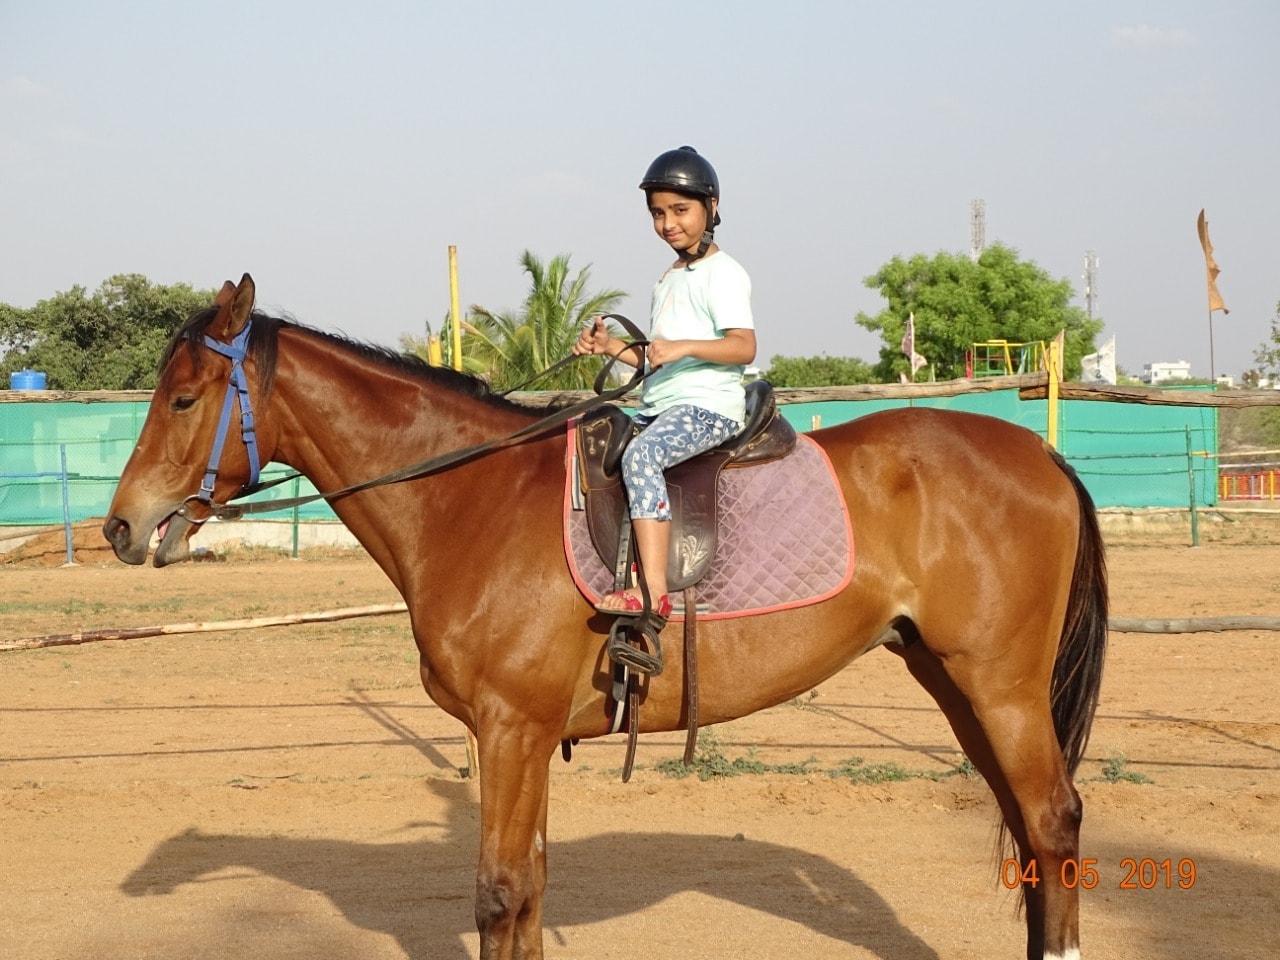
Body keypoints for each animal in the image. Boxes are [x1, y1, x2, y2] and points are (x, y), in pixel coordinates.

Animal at [104, 274, 1107, 960]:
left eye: (183, 398)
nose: (121, 526)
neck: (470, 500)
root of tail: (1041, 454)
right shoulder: (525, 737)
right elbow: (531, 892)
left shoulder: (510, 730)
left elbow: (499, 894)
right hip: (954, 681)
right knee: (1026, 831)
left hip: (1001, 686)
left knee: (1053, 820)